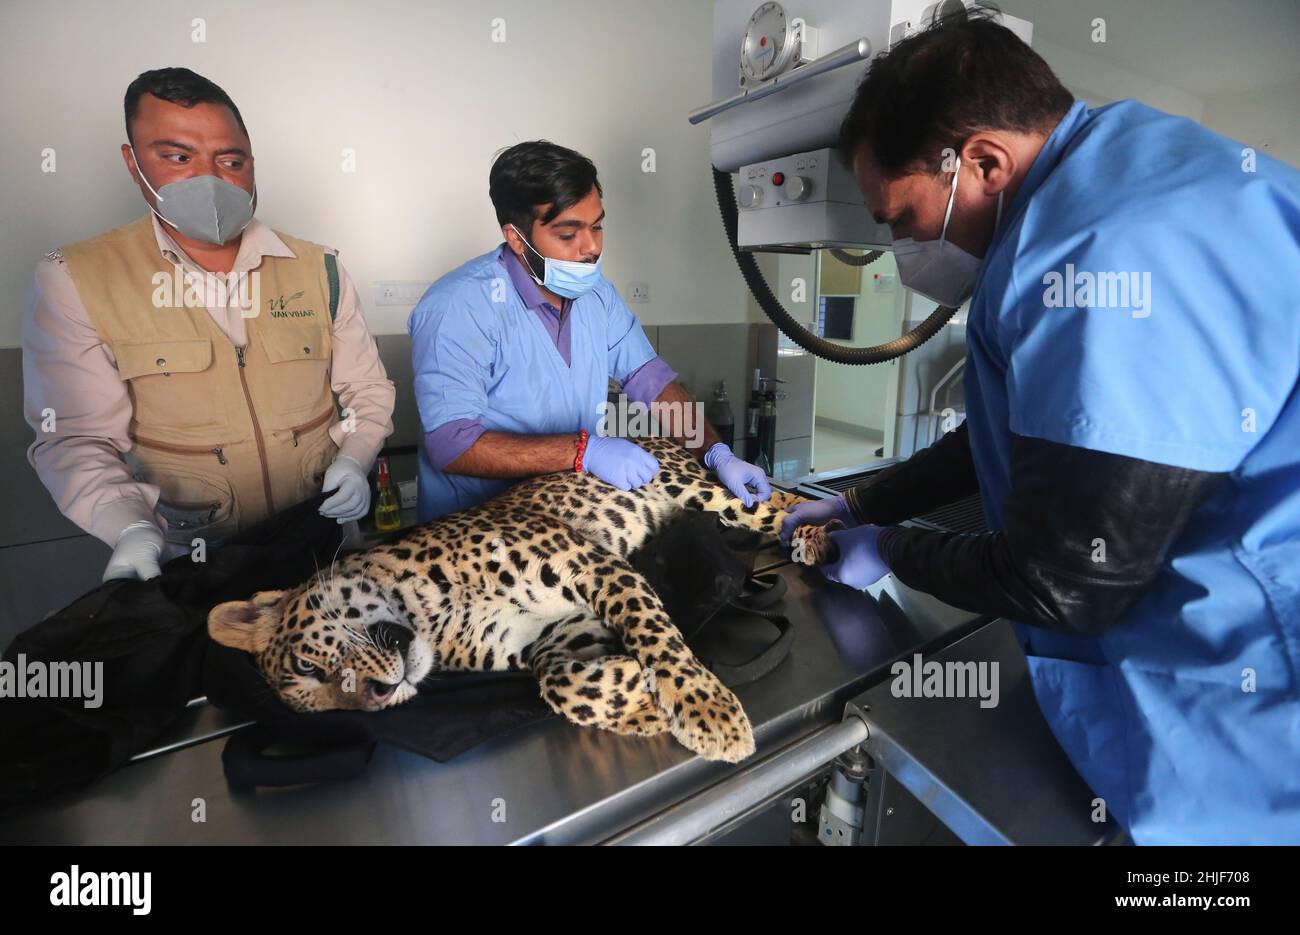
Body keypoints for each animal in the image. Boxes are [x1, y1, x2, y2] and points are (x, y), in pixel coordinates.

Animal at [208, 435, 840, 763]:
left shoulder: (595, 567)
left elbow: (660, 639)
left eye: (308, 665)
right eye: (331, 707)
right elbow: (562, 685)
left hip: (706, 491)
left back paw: (815, 532)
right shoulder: (553, 636)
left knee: (772, 498)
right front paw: (637, 698)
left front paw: (706, 710)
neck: (430, 617)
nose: (380, 695)